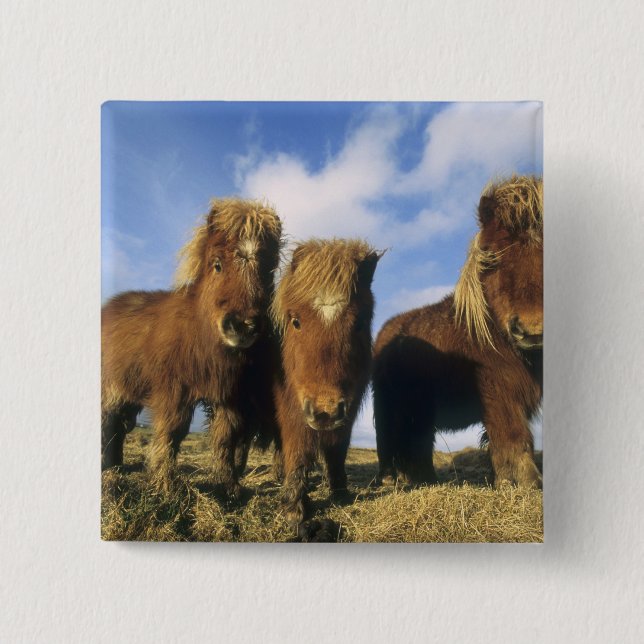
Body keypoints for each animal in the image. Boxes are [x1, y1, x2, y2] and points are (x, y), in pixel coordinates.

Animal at [101, 198, 282, 495]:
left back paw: (115, 467)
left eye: (267, 272)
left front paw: (228, 487)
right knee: (108, 423)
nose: (243, 325)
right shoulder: (173, 391)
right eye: (217, 264)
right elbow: (172, 432)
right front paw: (164, 485)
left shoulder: (229, 396)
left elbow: (225, 438)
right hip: (112, 390)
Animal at [270, 239, 382, 534]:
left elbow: (337, 450)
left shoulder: (348, 411)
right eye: (295, 321)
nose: (325, 412)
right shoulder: (292, 408)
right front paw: (294, 509)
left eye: (359, 322)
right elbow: (297, 450)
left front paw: (340, 492)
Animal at [373, 175, 543, 489]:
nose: (532, 330)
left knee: (417, 442)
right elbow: (512, 433)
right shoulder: (498, 390)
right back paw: (392, 479)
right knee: (389, 439)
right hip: (389, 405)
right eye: (492, 256)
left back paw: (424, 479)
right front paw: (524, 482)